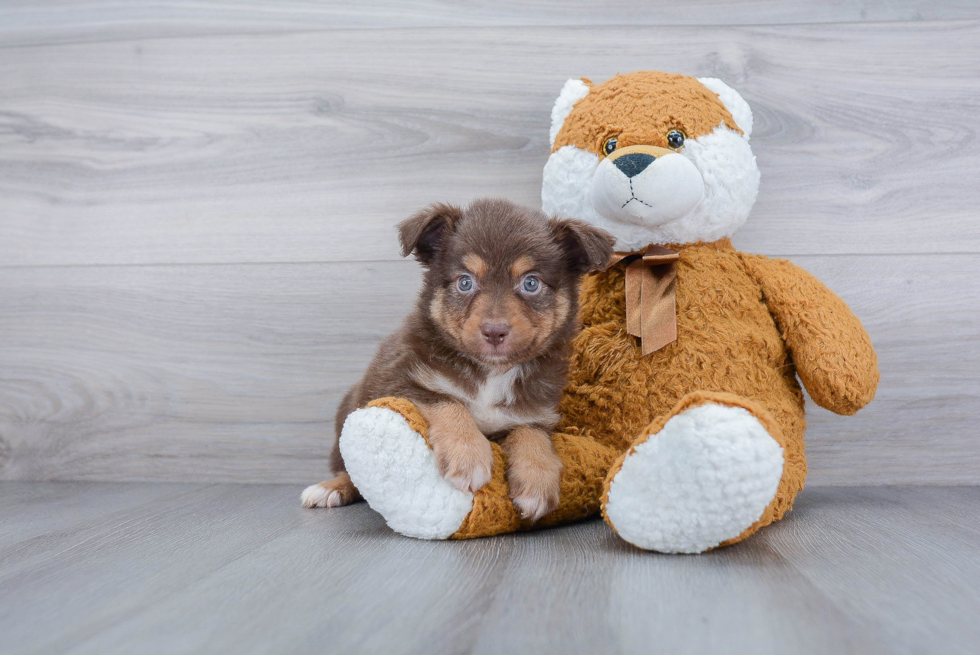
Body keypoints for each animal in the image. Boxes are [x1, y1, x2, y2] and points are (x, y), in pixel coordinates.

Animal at [302, 200, 616, 524]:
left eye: (531, 283)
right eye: (465, 282)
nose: (494, 331)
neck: (491, 372)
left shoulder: (534, 412)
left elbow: (532, 433)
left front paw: (537, 478)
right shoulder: (396, 381)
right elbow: (449, 402)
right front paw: (468, 456)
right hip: (350, 410)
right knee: (348, 469)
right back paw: (330, 489)